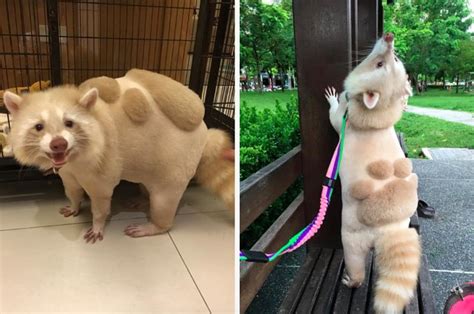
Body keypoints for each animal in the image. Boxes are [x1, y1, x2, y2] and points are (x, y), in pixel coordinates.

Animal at [2, 69, 234, 243]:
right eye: (38, 127)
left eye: (69, 123)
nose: (58, 144)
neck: (74, 157)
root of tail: (204, 131)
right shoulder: (67, 170)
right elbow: (72, 189)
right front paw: (75, 205)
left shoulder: (103, 165)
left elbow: (101, 199)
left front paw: (97, 223)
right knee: (148, 183)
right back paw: (143, 197)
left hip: (178, 162)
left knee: (164, 200)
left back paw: (156, 225)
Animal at [324, 33, 420, 312]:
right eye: (391, 59)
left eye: (382, 64)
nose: (389, 37)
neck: (380, 111)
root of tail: (389, 228)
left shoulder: (346, 122)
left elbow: (335, 118)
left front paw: (335, 99)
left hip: (351, 237)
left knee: (355, 260)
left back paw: (352, 280)